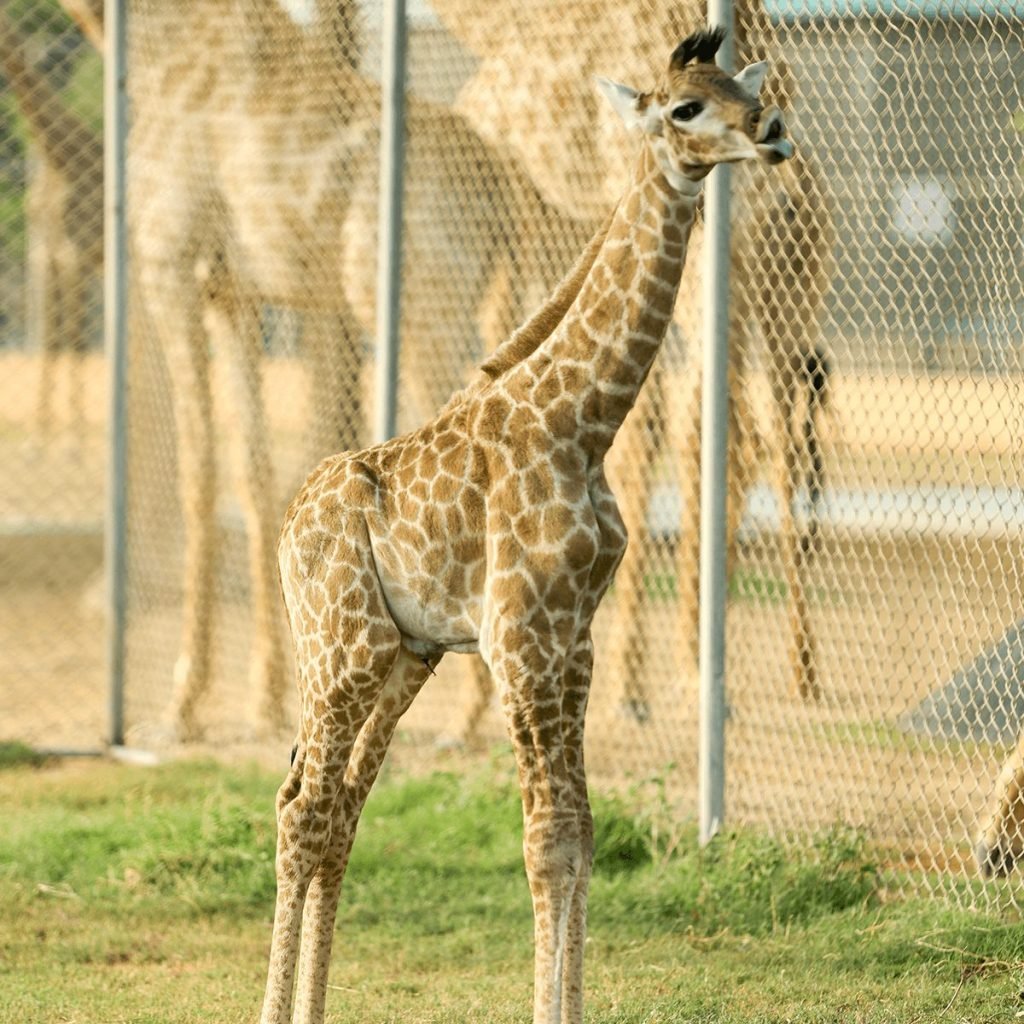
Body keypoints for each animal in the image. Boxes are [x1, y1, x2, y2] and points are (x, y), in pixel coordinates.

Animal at [260, 28, 794, 1024]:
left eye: (739, 88)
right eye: (684, 107)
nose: (771, 131)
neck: (583, 421)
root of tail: (287, 526)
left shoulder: (570, 643)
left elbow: (580, 833)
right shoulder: (518, 642)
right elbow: (544, 841)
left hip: (405, 656)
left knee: (338, 808)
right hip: (339, 647)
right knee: (302, 810)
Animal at [432, 0, 831, 729]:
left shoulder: (522, 204)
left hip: (730, 279)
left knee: (717, 435)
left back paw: (679, 681)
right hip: (790, 294)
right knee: (772, 445)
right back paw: (793, 673)